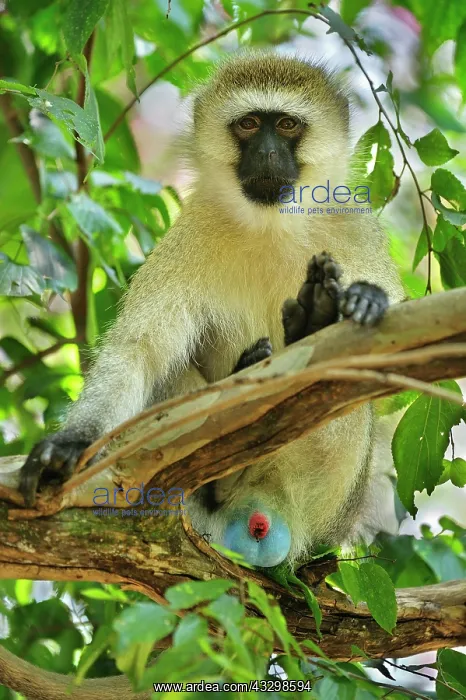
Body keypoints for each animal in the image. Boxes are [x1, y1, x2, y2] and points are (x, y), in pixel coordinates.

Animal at [20, 52, 404, 567]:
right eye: (248, 125)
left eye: (286, 125)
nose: (267, 154)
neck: (271, 223)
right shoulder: (191, 233)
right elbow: (138, 353)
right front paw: (69, 444)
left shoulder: (353, 226)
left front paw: (366, 299)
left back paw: (313, 325)